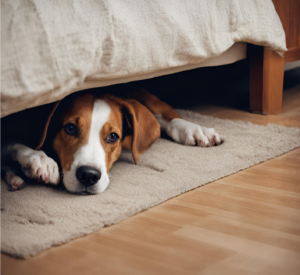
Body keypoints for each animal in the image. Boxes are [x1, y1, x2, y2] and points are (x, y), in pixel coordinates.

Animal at [1, 88, 221, 194]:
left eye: (113, 137)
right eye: (70, 128)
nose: (88, 176)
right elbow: (12, 143)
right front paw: (39, 160)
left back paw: (196, 130)